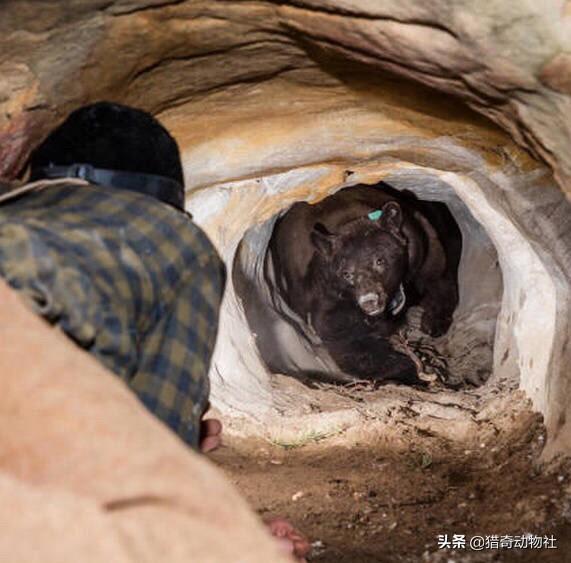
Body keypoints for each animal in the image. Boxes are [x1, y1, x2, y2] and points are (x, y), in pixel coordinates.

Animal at [270, 183, 464, 386]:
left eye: (380, 260)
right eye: (346, 273)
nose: (369, 301)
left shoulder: (420, 244)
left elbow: (437, 276)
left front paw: (434, 322)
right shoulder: (328, 295)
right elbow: (348, 342)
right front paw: (418, 370)